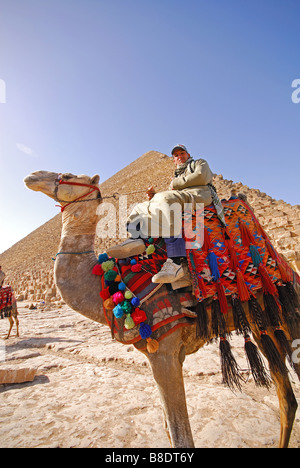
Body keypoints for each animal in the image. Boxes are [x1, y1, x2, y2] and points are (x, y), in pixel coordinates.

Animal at [24, 170, 300, 448]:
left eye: (67, 175)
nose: (33, 176)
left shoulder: (164, 351)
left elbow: (181, 436)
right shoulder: (164, 354)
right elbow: (169, 429)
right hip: (264, 325)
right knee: (287, 397)